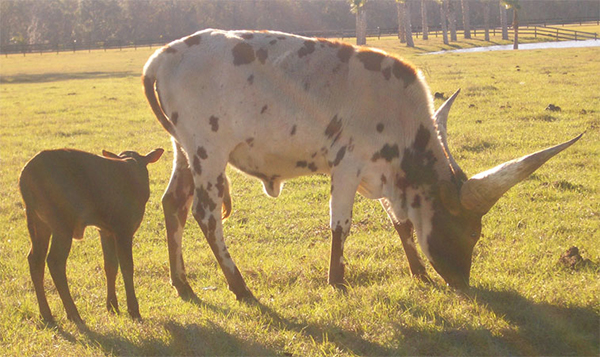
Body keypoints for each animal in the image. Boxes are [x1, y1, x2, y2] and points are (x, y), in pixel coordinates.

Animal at [19, 147, 163, 322]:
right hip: (62, 224)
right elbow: (127, 266)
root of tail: (25, 176)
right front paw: (133, 309)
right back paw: (73, 313)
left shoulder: (105, 230)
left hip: (36, 221)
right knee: (55, 261)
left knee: (35, 260)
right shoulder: (124, 228)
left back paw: (46, 314)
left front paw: (112, 306)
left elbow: (110, 265)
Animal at [142, 29, 580, 298]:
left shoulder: (382, 170)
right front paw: (337, 280)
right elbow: (341, 225)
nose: (462, 283)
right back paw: (240, 286)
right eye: (471, 232)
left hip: (184, 150)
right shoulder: (348, 166)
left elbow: (401, 223)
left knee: (173, 205)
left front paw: (418, 271)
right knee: (206, 214)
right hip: (208, 152)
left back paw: (182, 283)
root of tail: (162, 57)